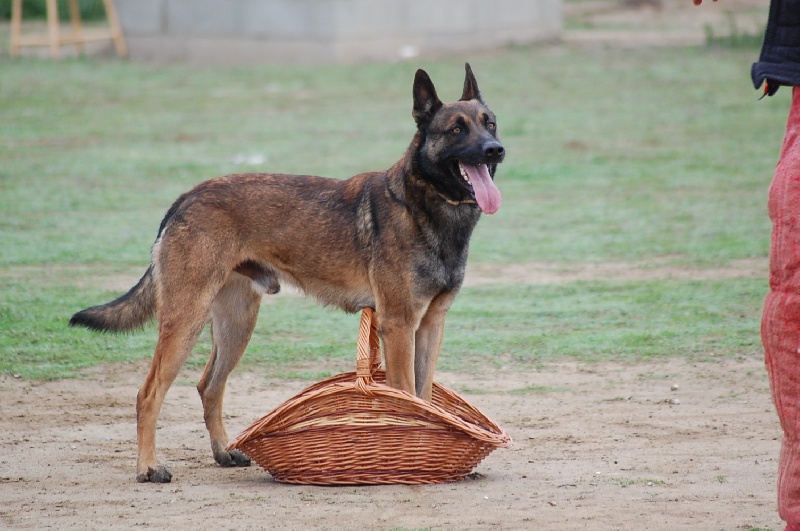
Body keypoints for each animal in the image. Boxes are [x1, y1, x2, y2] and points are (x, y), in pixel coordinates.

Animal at [70, 64, 506, 484]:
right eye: (456, 129)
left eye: (491, 123)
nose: (496, 149)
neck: (425, 205)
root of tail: (186, 197)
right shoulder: (399, 326)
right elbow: (406, 397)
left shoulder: (430, 325)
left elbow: (425, 396)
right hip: (186, 319)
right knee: (148, 394)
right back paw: (147, 467)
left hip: (236, 325)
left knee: (209, 385)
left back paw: (223, 452)